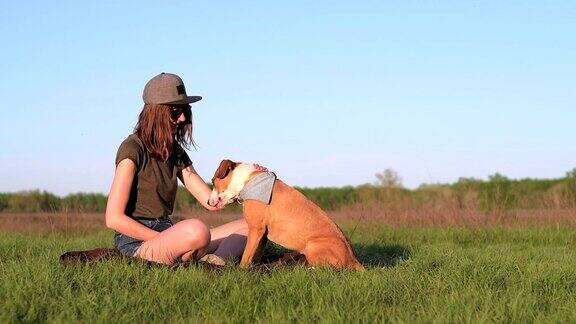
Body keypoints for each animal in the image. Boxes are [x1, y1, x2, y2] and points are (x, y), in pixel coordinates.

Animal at [205, 159, 362, 268]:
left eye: (213, 180)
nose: (207, 202)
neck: (246, 181)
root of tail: (353, 260)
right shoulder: (262, 235)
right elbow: (255, 255)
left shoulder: (256, 229)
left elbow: (246, 256)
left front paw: (241, 270)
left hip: (312, 246)